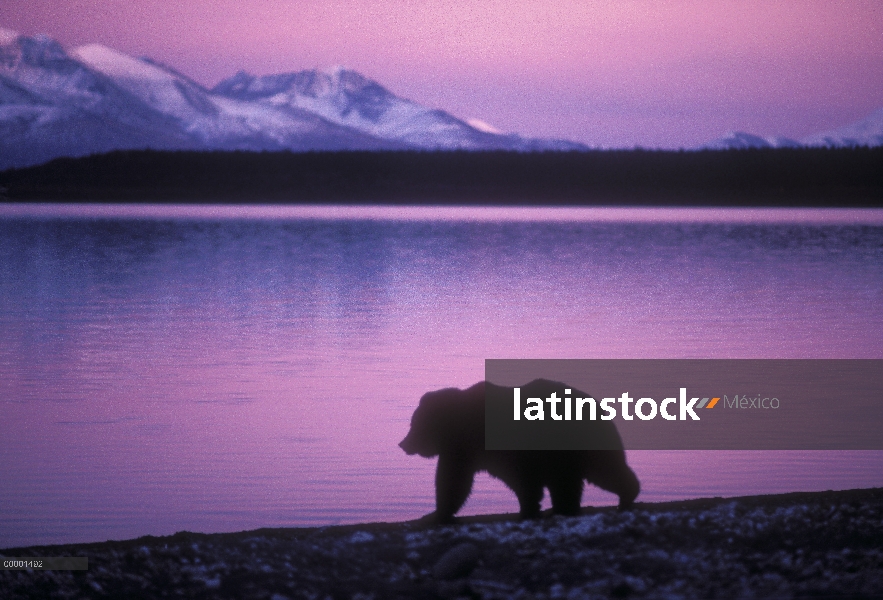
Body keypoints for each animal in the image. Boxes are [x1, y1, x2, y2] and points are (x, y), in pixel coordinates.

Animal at [402, 382, 644, 524]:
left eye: (414, 424)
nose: (403, 444)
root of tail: (600, 407)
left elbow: (455, 481)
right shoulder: (466, 452)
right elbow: (456, 480)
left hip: (573, 442)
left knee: (601, 470)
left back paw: (625, 495)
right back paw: (564, 508)